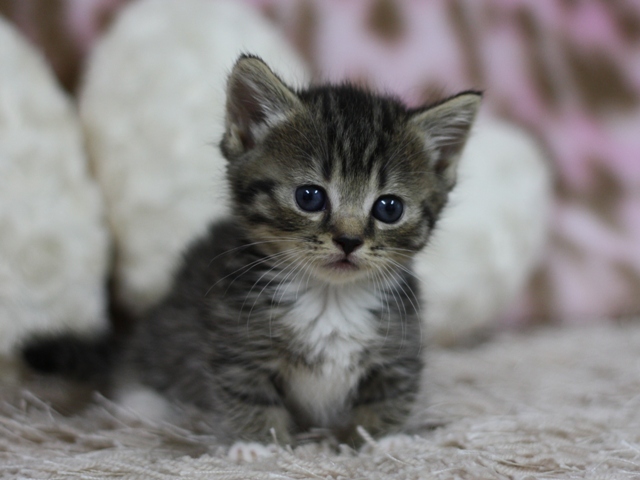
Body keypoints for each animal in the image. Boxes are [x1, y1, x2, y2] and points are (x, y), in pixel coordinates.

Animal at [22, 55, 478, 446]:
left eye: (389, 208)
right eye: (310, 197)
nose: (348, 241)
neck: (329, 298)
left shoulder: (399, 347)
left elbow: (389, 397)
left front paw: (377, 441)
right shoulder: (235, 341)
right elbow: (248, 395)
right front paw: (259, 445)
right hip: (168, 325)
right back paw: (145, 404)